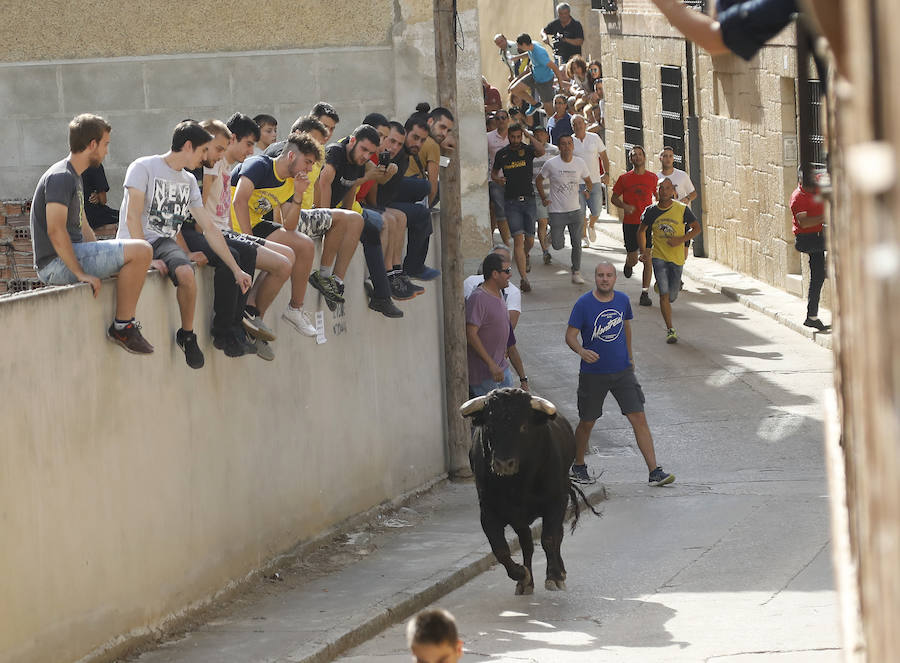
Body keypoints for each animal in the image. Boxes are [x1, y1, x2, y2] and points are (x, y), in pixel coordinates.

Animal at [464, 386, 596, 592]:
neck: (517, 483)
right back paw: (526, 583)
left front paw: (554, 576)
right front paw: (522, 575)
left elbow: (549, 538)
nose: (504, 464)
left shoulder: (556, 502)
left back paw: (560, 571)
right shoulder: (489, 512)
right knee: (527, 544)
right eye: (490, 426)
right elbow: (501, 550)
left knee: (556, 536)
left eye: (523, 427)